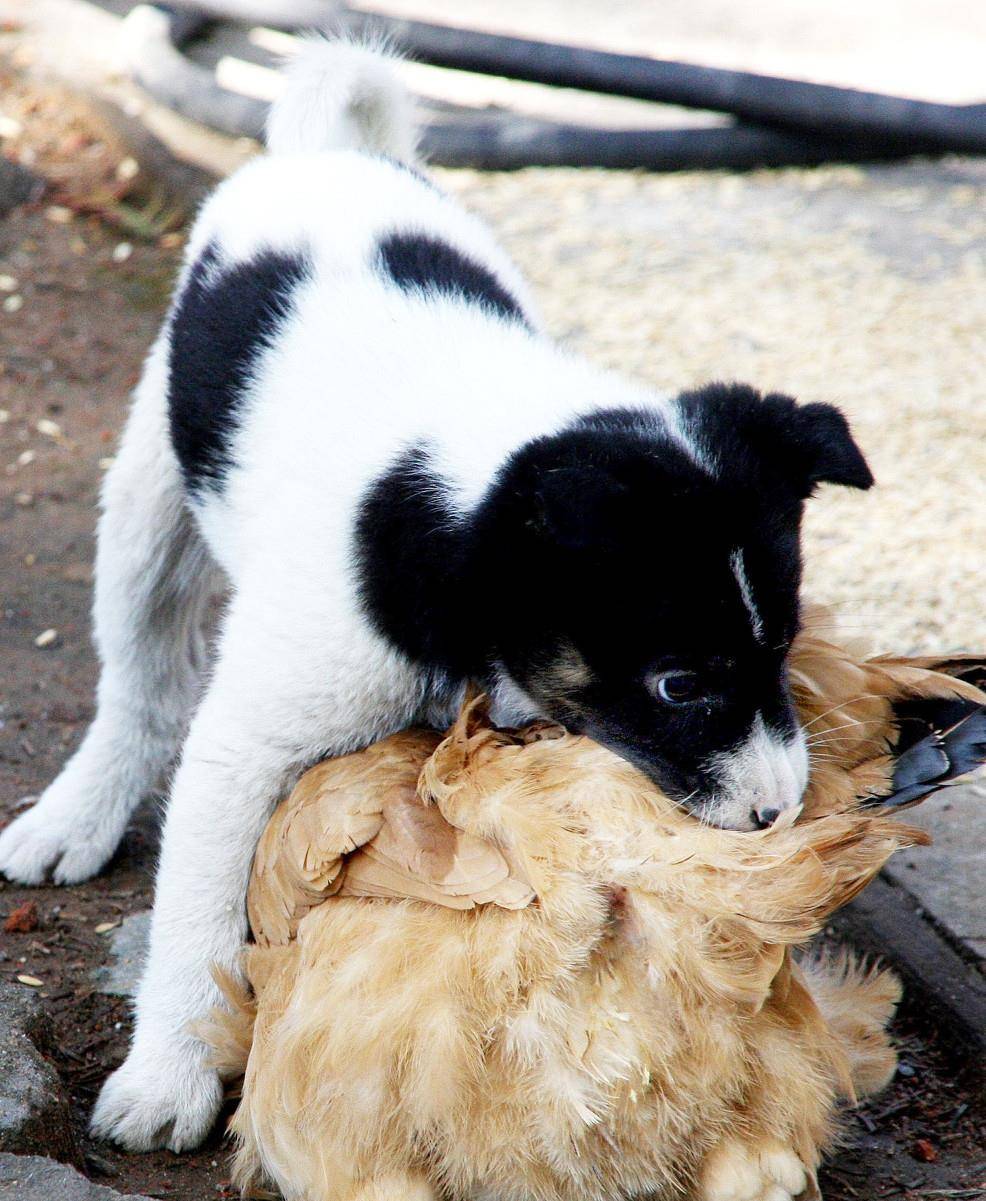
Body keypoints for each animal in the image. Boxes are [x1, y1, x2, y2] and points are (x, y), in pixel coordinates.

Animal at [0, 39, 869, 1152]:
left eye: (783, 650)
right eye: (680, 684)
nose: (775, 813)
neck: (443, 515)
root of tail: (328, 152)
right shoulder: (246, 741)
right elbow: (195, 922)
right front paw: (169, 1075)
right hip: (151, 488)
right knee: (140, 680)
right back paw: (77, 812)